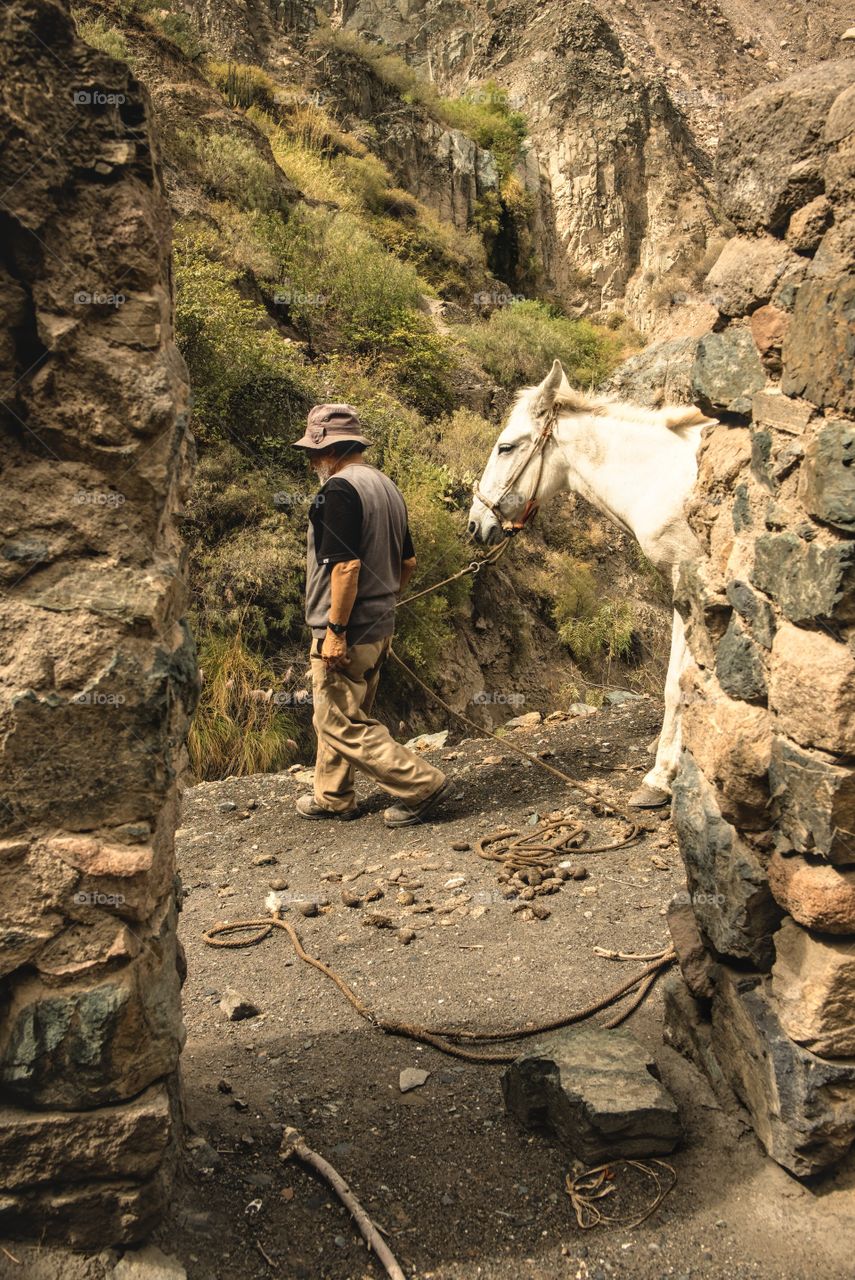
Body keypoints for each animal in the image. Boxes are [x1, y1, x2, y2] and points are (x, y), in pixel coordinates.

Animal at [468, 355, 716, 803]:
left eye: (505, 446)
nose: (475, 524)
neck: (660, 477)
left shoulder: (687, 585)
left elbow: (677, 684)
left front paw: (661, 776)